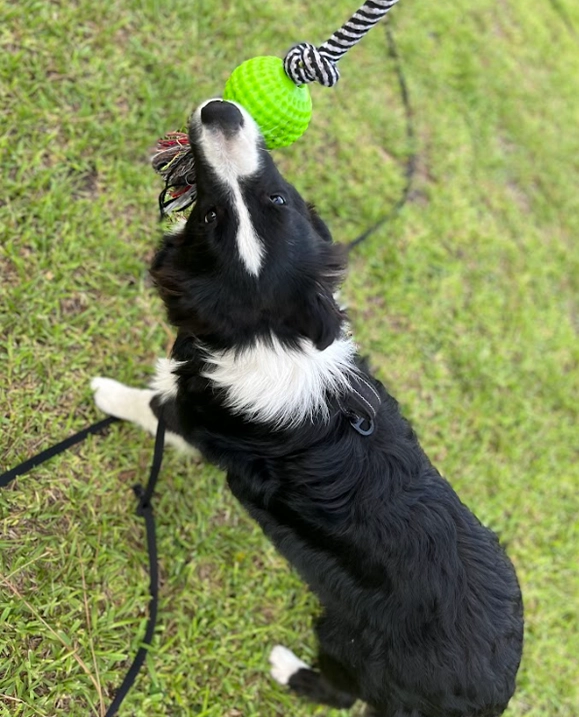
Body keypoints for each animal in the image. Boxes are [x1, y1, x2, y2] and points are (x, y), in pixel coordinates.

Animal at [92, 100, 524, 716]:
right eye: (215, 214)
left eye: (272, 200)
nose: (220, 110)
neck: (272, 336)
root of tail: (494, 692)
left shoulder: (197, 420)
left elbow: (150, 403)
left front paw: (103, 391)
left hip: (350, 642)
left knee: (339, 692)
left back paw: (286, 667)